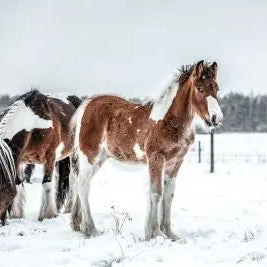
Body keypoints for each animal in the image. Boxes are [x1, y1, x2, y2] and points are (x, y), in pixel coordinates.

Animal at [0, 90, 81, 224]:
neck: (33, 124)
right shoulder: (19, 160)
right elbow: (18, 182)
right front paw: (17, 214)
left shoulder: (50, 157)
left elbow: (47, 183)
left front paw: (47, 215)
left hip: (73, 154)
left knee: (73, 179)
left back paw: (69, 208)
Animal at [70, 60, 224, 241]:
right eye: (200, 89)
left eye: (216, 88)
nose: (217, 119)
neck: (168, 121)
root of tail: (87, 104)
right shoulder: (156, 158)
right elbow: (156, 192)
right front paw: (156, 233)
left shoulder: (175, 162)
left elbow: (168, 195)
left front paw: (168, 233)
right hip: (89, 155)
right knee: (83, 185)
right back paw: (91, 229)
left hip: (100, 158)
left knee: (80, 182)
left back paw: (77, 225)